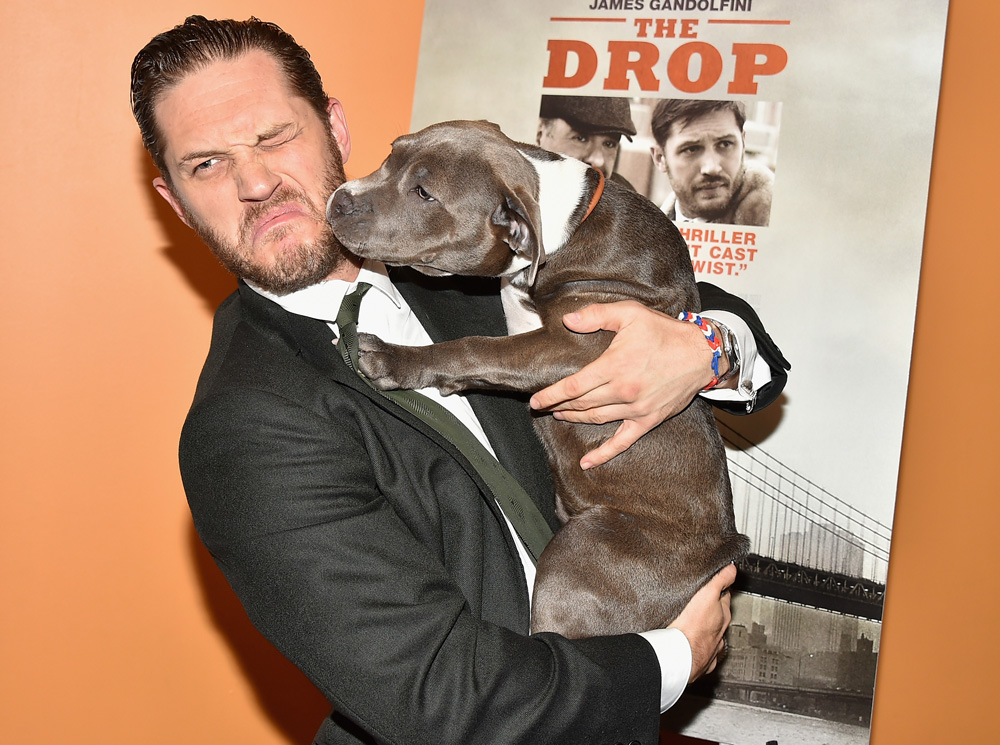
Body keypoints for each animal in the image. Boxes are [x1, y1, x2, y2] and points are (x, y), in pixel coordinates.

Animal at [327, 120, 749, 638]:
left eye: (425, 193)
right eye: (391, 154)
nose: (339, 200)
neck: (565, 225)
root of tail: (720, 555)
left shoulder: (589, 345)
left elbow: (476, 346)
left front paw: (391, 358)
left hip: (582, 554)